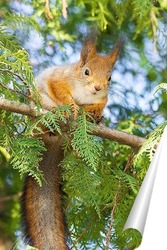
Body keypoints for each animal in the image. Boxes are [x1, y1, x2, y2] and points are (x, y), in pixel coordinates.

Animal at [21, 33, 124, 250]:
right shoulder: (58, 78)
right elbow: (59, 89)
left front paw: (94, 112)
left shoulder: (102, 98)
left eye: (109, 77)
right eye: (86, 71)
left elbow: (102, 102)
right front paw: (72, 106)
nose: (97, 87)